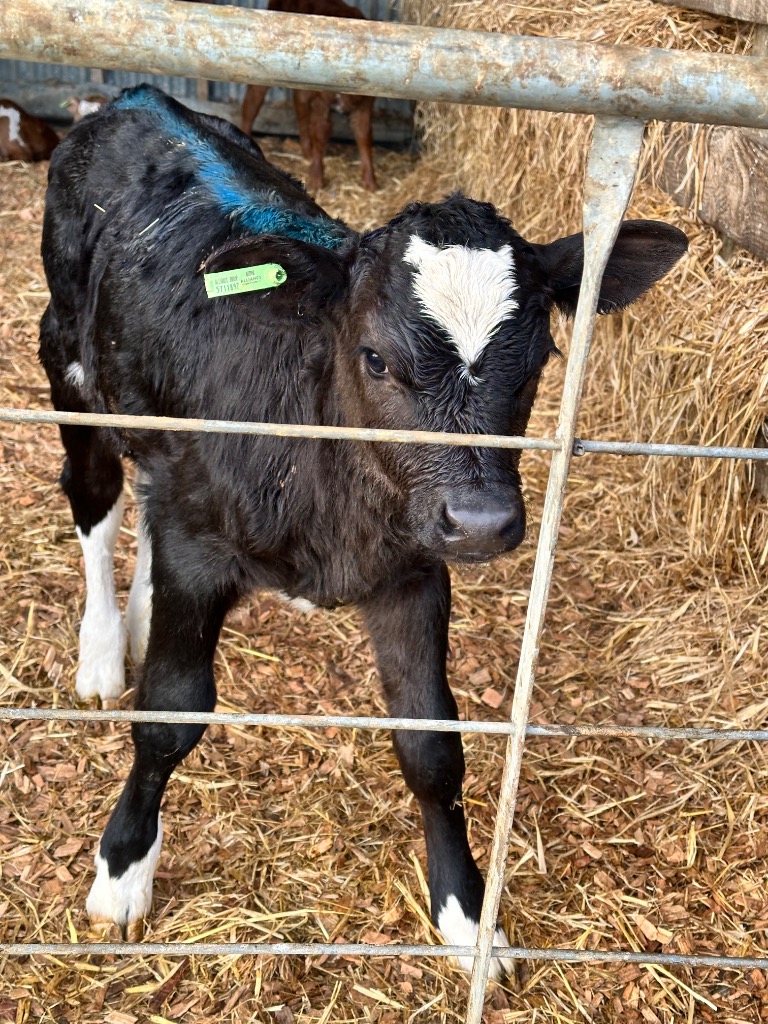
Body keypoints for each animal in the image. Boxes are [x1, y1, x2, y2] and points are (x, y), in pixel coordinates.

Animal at [39, 84, 687, 978]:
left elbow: (433, 743)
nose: (481, 521)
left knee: (144, 497)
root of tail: (138, 96)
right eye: (375, 358)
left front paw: (466, 913)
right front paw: (122, 869)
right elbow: (170, 713)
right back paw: (103, 650)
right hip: (67, 366)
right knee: (96, 505)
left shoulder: (413, 571)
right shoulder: (199, 547)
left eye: (541, 361)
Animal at [241, 0, 378, 192]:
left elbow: (364, 136)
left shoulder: (366, 104)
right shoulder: (322, 100)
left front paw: (370, 181)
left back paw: (307, 151)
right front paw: (316, 179)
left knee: (300, 105)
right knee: (251, 104)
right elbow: (320, 133)